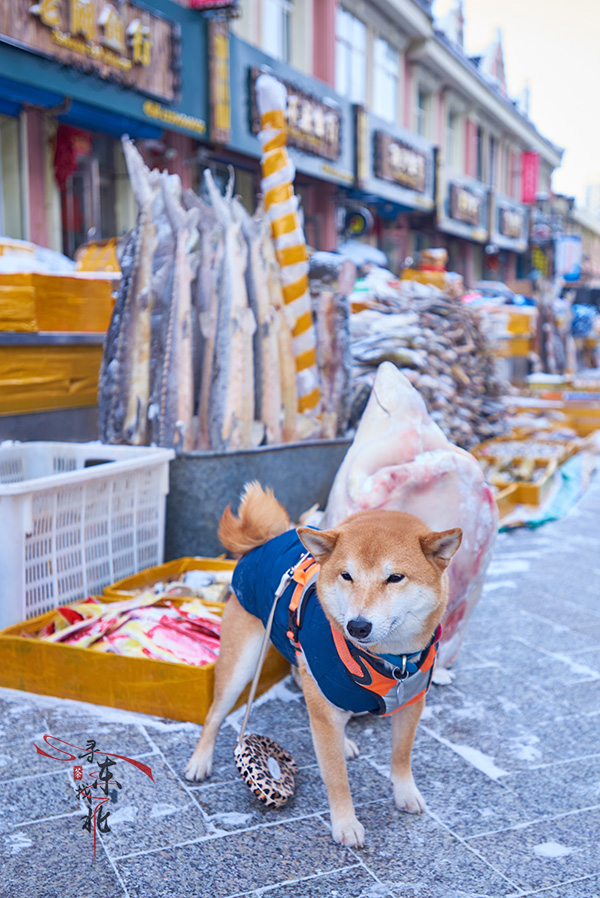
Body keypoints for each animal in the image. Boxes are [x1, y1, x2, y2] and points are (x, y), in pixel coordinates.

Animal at [185, 480, 462, 844]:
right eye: (346, 576)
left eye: (395, 578)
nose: (357, 626)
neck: (390, 660)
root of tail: (265, 542)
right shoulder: (325, 706)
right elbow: (336, 777)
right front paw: (345, 824)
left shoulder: (411, 701)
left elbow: (401, 756)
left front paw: (405, 793)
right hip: (241, 665)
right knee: (214, 715)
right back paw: (200, 760)